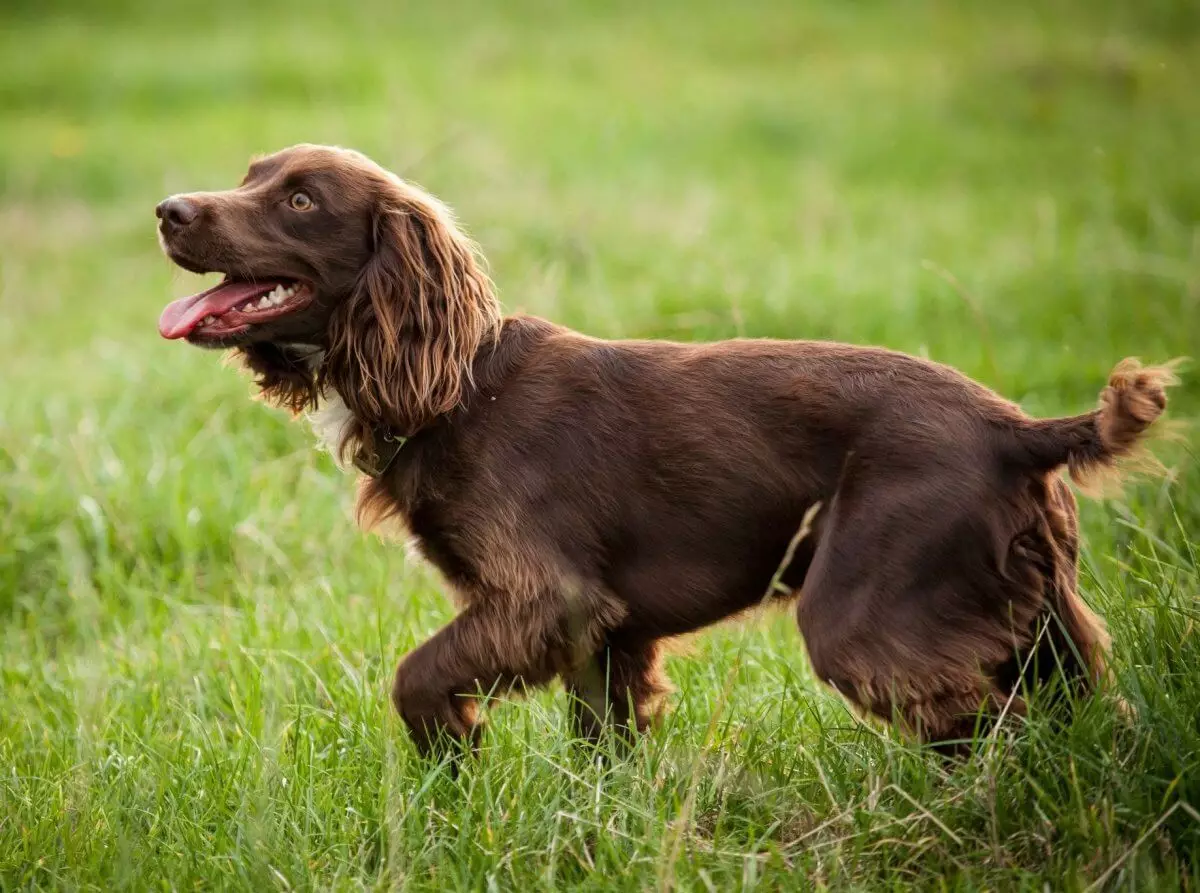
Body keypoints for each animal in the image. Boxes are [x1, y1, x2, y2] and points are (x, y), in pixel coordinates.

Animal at [154, 144, 1176, 753]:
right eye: (250, 172)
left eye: (298, 198)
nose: (167, 209)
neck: (458, 387)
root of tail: (1017, 430)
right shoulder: (606, 633)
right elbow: (601, 748)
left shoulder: (545, 598)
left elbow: (415, 676)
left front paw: (456, 757)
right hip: (1041, 617)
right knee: (1085, 713)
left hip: (868, 615)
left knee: (996, 728)